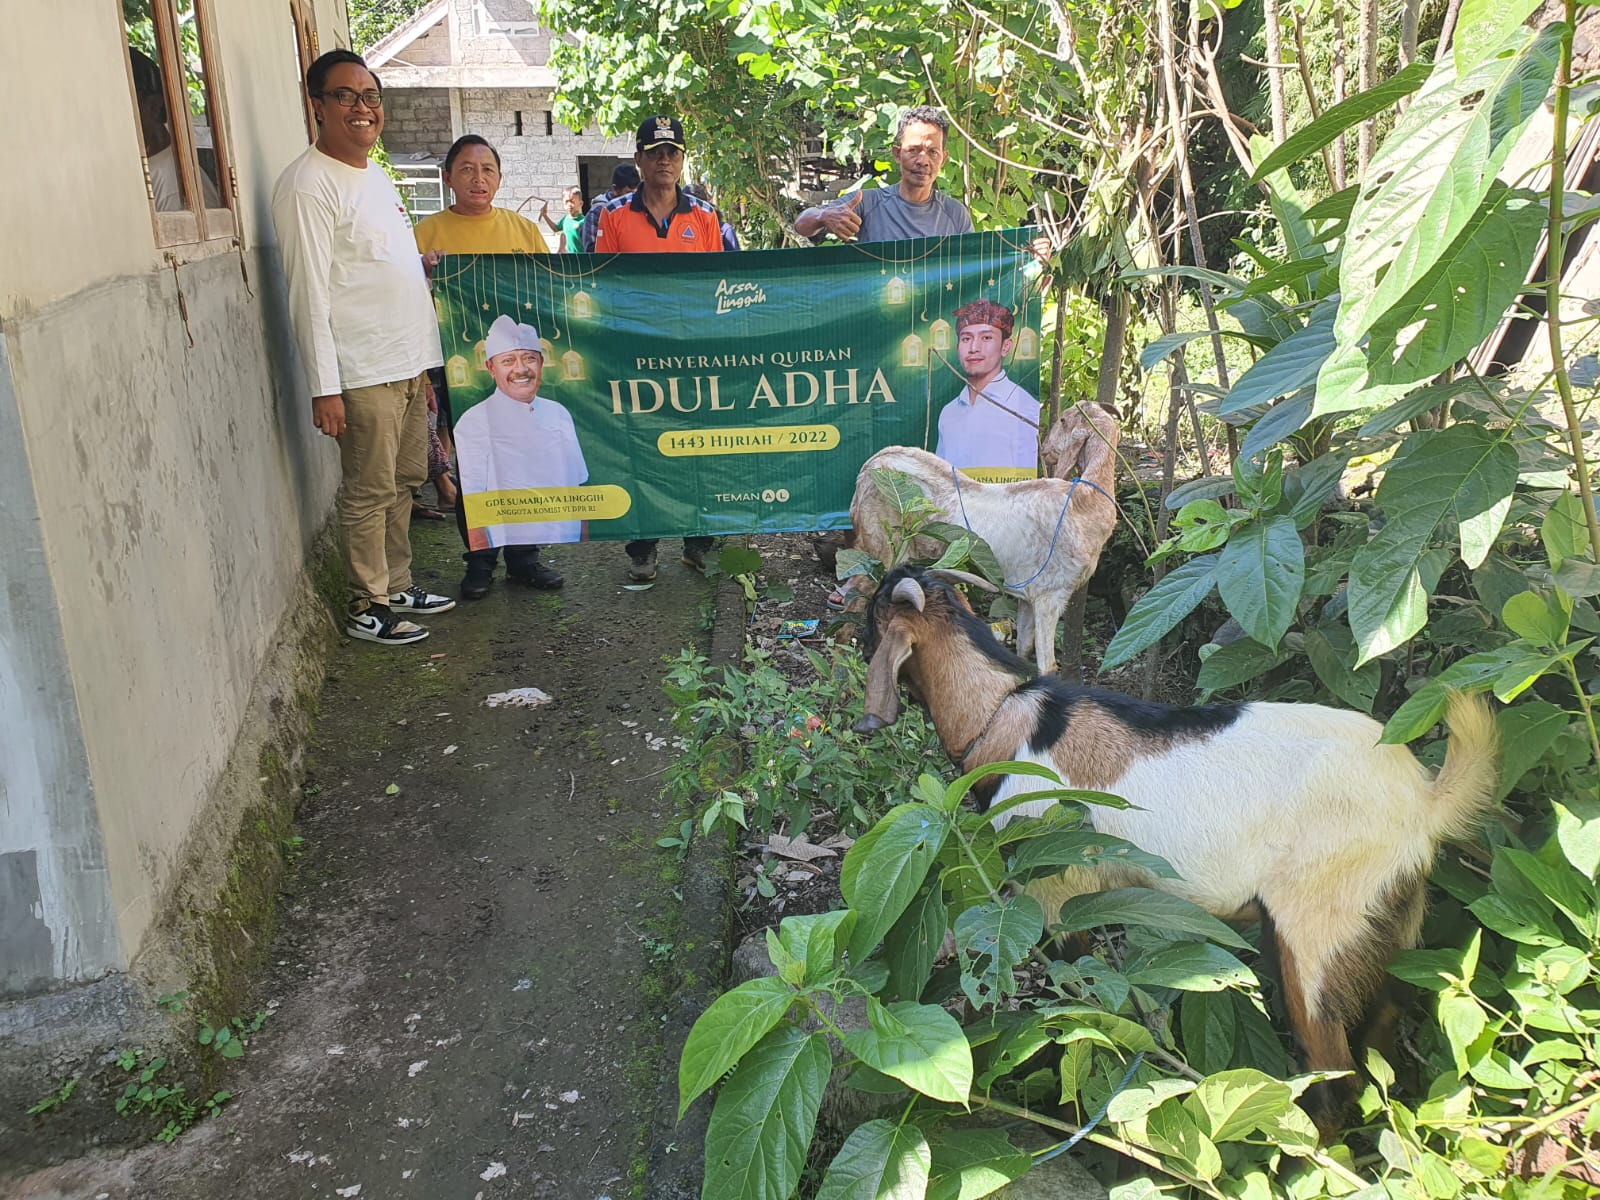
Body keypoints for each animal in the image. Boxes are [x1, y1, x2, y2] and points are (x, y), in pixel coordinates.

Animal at [851, 404, 1113, 678]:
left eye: (1062, 420)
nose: (1045, 451)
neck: (1085, 502)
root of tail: (870, 465)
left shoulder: (1029, 596)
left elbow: (1023, 646)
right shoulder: (1049, 596)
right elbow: (1048, 666)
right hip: (883, 545)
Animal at [857, 569, 1491, 1132]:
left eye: (872, 614)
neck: (1007, 716)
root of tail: (1423, 798)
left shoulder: (1057, 893)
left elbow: (1076, 1001)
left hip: (1314, 927)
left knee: (1333, 1066)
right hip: (1393, 920)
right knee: (1386, 1019)